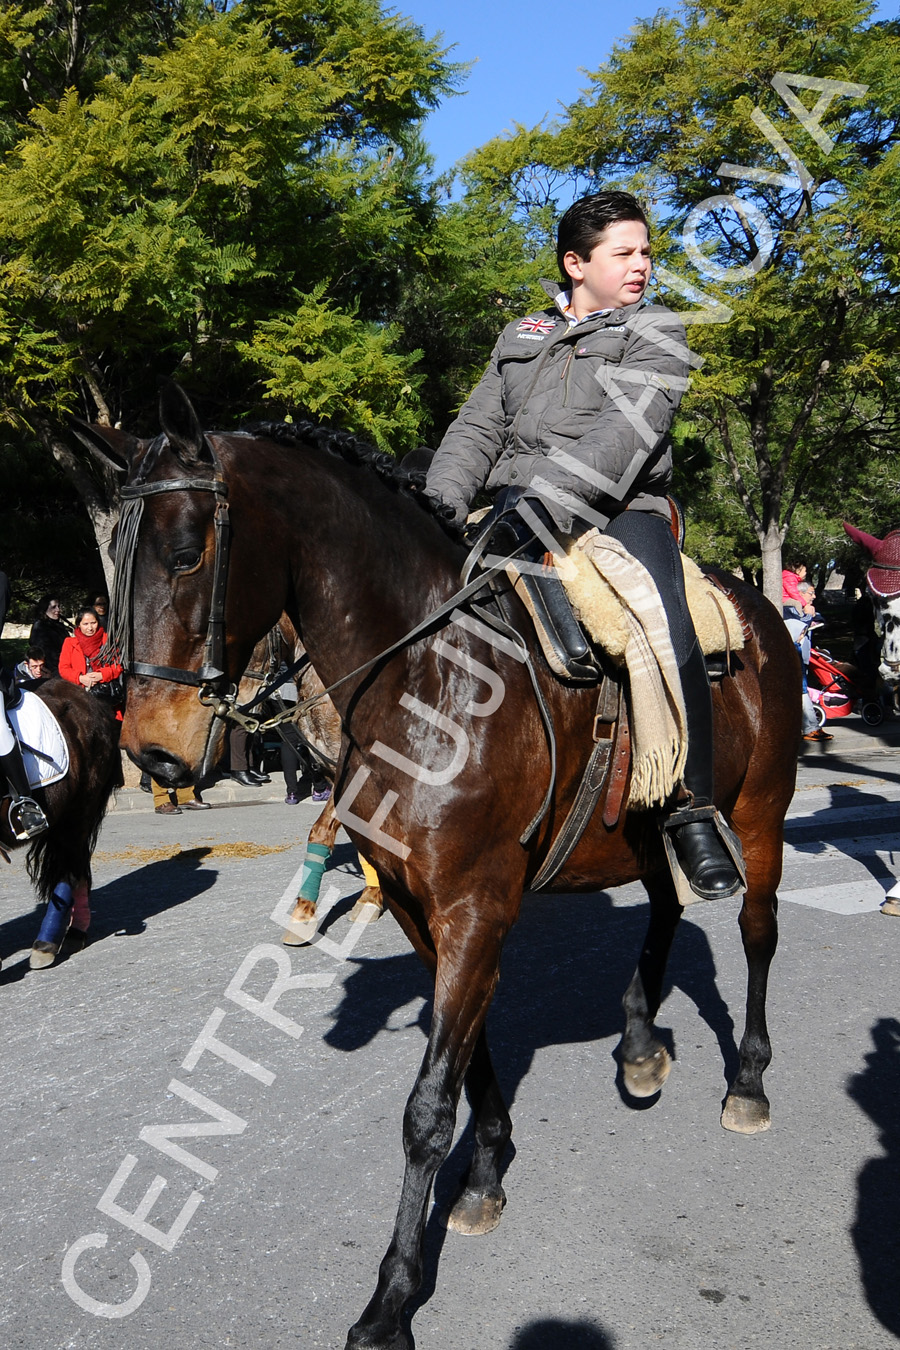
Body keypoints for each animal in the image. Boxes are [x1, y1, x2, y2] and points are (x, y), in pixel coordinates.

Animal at [80, 388, 804, 1350]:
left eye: (187, 551)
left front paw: (391, 1301)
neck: (427, 677)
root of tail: (757, 611)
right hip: (643, 831)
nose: (153, 753)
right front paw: (487, 1173)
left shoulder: (473, 908)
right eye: (116, 562)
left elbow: (427, 1108)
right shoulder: (428, 911)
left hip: (761, 818)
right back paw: (641, 1042)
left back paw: (749, 1080)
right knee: (664, 910)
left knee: (757, 934)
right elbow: (471, 1056)